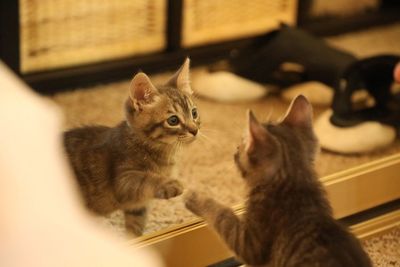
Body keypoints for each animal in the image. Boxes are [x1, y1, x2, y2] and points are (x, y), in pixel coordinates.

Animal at [64, 59, 200, 237]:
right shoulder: (123, 181)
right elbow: (145, 179)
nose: (195, 130)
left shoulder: (137, 206)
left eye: (194, 113)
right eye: (173, 120)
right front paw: (169, 184)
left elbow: (135, 225)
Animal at [184, 95, 372, 266]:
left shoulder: (251, 243)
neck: (295, 183)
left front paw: (194, 196)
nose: (235, 149)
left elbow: (223, 216)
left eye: (241, 145)